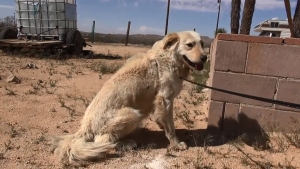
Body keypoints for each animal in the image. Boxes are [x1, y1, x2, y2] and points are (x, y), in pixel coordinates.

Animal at [51, 30, 206, 165]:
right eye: (190, 45)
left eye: (202, 44)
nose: (205, 58)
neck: (168, 59)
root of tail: (85, 128)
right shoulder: (165, 99)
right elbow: (171, 127)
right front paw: (176, 144)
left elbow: (162, 120)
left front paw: (162, 126)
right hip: (132, 114)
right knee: (102, 141)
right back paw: (126, 144)